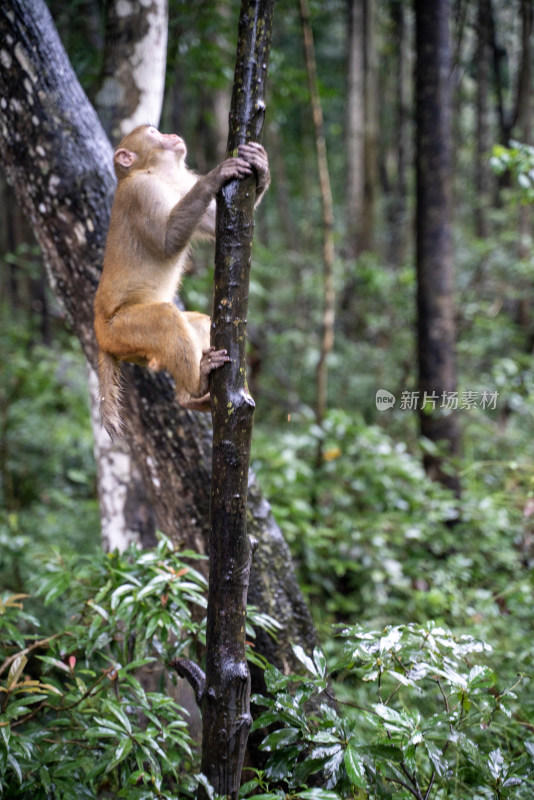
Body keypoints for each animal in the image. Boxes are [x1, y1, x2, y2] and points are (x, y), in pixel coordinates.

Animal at [94, 125, 270, 440]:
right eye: (153, 133)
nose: (170, 135)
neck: (157, 172)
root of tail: (100, 333)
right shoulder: (142, 193)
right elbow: (167, 241)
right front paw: (215, 176)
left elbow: (213, 221)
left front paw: (260, 166)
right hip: (119, 330)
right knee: (164, 319)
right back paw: (198, 383)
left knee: (198, 323)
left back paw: (189, 396)